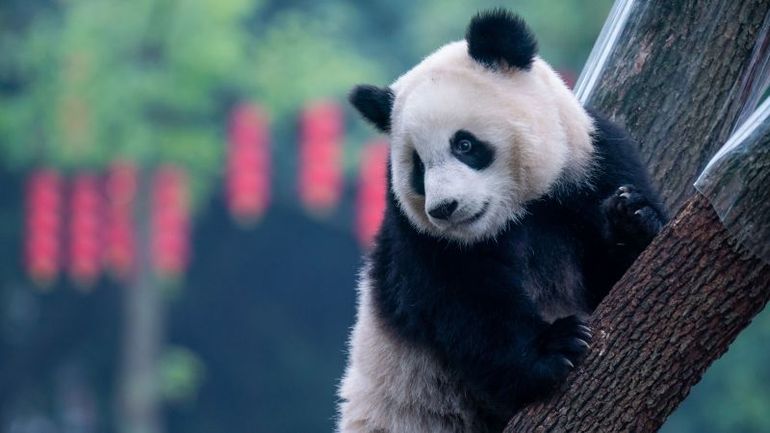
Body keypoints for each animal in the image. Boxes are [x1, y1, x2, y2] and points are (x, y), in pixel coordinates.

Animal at [337, 9, 666, 433]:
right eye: (418, 168)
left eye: (464, 144)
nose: (444, 208)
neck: (519, 213)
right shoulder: (420, 238)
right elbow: (468, 304)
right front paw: (553, 348)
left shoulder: (594, 163)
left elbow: (622, 285)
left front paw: (632, 219)